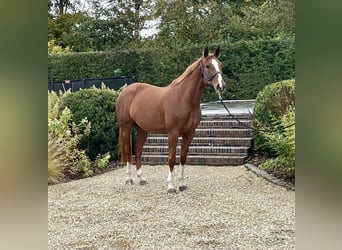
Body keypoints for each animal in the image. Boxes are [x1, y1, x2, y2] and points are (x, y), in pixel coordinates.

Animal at [116, 47, 226, 193]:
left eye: (220, 65)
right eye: (208, 66)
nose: (221, 86)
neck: (184, 98)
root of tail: (124, 91)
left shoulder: (190, 133)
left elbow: (183, 157)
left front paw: (182, 184)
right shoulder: (173, 133)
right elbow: (171, 158)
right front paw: (171, 186)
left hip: (142, 129)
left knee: (138, 151)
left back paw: (142, 179)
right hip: (126, 128)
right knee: (128, 150)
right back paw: (129, 179)